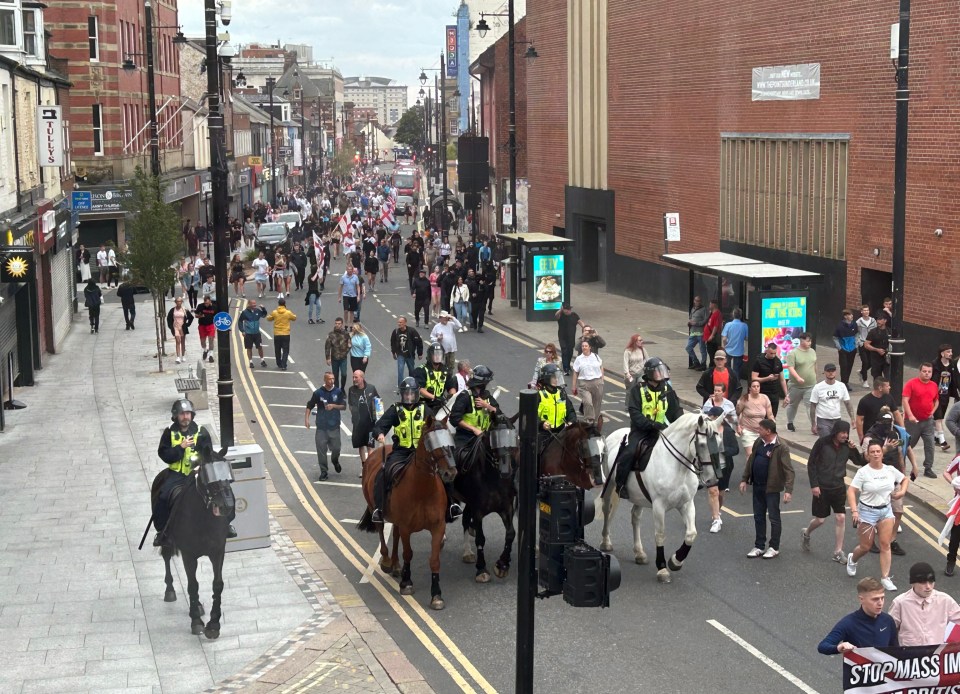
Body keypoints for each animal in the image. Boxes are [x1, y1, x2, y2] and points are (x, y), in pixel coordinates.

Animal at [156, 448, 236, 640]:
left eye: (228, 473)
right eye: (209, 476)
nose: (228, 506)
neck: (203, 518)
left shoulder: (218, 552)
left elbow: (217, 584)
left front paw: (213, 625)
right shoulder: (189, 555)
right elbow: (192, 586)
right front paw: (197, 623)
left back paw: (199, 606)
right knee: (167, 556)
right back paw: (170, 590)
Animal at [358, 418, 460, 608]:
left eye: (450, 439)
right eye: (432, 442)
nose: (450, 472)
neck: (423, 489)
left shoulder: (438, 527)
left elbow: (434, 560)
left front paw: (436, 595)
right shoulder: (407, 527)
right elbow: (408, 553)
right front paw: (406, 584)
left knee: (395, 534)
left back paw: (396, 565)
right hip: (375, 508)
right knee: (381, 532)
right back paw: (387, 562)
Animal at [456, 416, 520, 584]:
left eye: (513, 436)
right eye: (494, 438)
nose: (506, 471)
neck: (492, 479)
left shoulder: (506, 508)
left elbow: (510, 533)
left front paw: (502, 565)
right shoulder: (478, 511)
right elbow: (480, 539)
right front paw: (481, 569)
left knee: (465, 518)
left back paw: (467, 552)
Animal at [596, 416, 724, 584]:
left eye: (719, 442)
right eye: (702, 444)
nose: (712, 480)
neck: (677, 467)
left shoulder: (686, 504)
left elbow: (691, 534)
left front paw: (676, 561)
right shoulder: (659, 506)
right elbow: (660, 534)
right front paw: (662, 568)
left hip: (638, 497)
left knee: (635, 517)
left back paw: (639, 553)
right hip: (609, 484)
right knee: (606, 509)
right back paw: (606, 542)